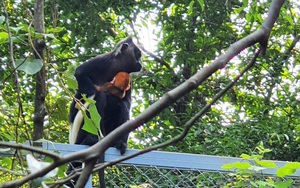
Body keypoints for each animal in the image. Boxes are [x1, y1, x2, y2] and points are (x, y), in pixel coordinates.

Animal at [67, 36, 142, 187]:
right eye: (137, 55)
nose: (140, 63)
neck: (115, 67)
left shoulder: (128, 79)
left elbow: (126, 103)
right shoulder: (102, 60)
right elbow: (79, 73)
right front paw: (93, 91)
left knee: (122, 107)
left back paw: (119, 143)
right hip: (80, 133)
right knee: (98, 100)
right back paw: (91, 139)